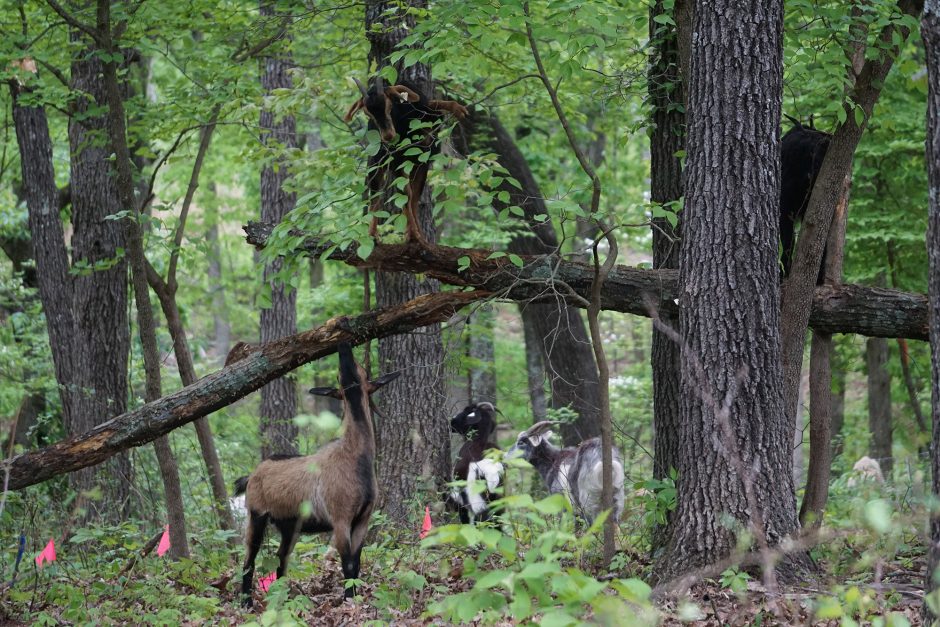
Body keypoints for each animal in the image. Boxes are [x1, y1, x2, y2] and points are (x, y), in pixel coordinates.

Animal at [235, 343, 399, 606]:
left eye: (361, 372)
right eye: (340, 378)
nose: (344, 348)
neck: (355, 457)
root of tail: (250, 476)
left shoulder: (363, 518)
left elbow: (357, 563)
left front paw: (355, 598)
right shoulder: (340, 517)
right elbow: (348, 565)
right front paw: (349, 602)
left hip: (290, 524)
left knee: (281, 558)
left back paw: (283, 598)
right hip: (256, 513)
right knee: (249, 557)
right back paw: (247, 602)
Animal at [344, 77, 468, 245]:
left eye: (390, 104)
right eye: (367, 113)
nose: (388, 136)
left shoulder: (424, 159)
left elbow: (414, 196)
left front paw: (459, 109)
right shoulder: (396, 162)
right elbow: (406, 194)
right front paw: (413, 234)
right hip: (377, 164)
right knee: (376, 196)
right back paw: (373, 234)